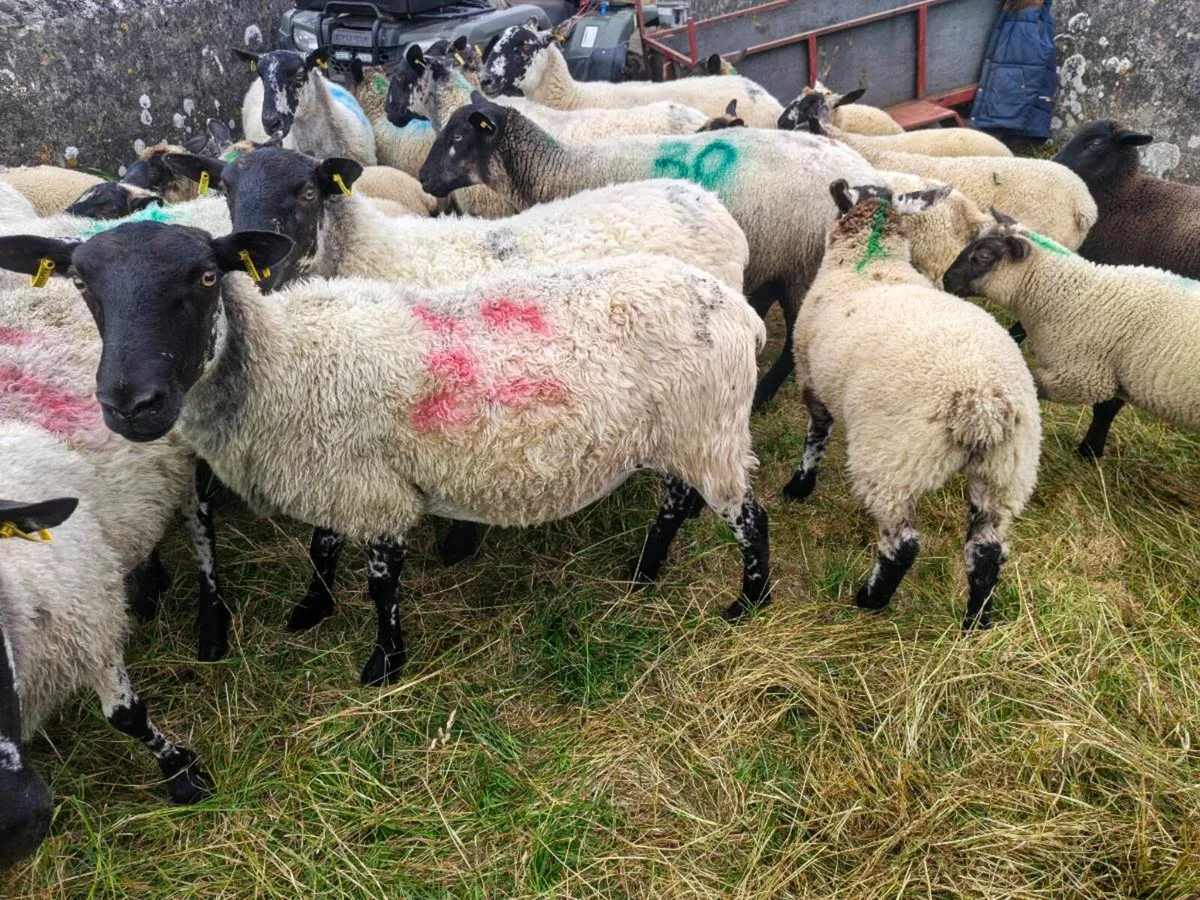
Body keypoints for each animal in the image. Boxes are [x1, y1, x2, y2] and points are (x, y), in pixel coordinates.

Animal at [7, 221, 774, 688]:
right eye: (82, 283)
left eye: (203, 277)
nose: (131, 404)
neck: (278, 363)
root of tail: (739, 309)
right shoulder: (331, 470)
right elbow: (320, 545)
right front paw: (310, 610)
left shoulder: (373, 491)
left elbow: (381, 586)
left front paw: (383, 664)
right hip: (681, 431)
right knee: (676, 500)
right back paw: (645, 573)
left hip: (709, 426)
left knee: (749, 519)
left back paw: (750, 603)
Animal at [165, 144, 749, 634]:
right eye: (227, 191)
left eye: (307, 192)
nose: (259, 271)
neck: (372, 255)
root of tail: (706, 200)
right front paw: (314, 604)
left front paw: (455, 543)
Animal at [418, 93, 878, 409]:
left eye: (457, 135)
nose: (422, 179)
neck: (558, 170)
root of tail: (867, 177)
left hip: (804, 265)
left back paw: (763, 394)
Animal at [785, 181, 1040, 628]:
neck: (869, 263)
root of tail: (981, 405)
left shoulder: (811, 378)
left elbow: (815, 436)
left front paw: (799, 486)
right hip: (1007, 472)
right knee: (987, 550)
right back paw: (976, 621)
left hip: (893, 463)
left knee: (903, 544)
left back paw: (870, 599)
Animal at [944, 214, 1200, 458]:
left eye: (984, 256)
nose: (946, 279)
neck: (1075, 296)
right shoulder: (1113, 373)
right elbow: (1105, 409)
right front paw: (1090, 450)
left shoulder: (1082, 376)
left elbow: (1034, 386)